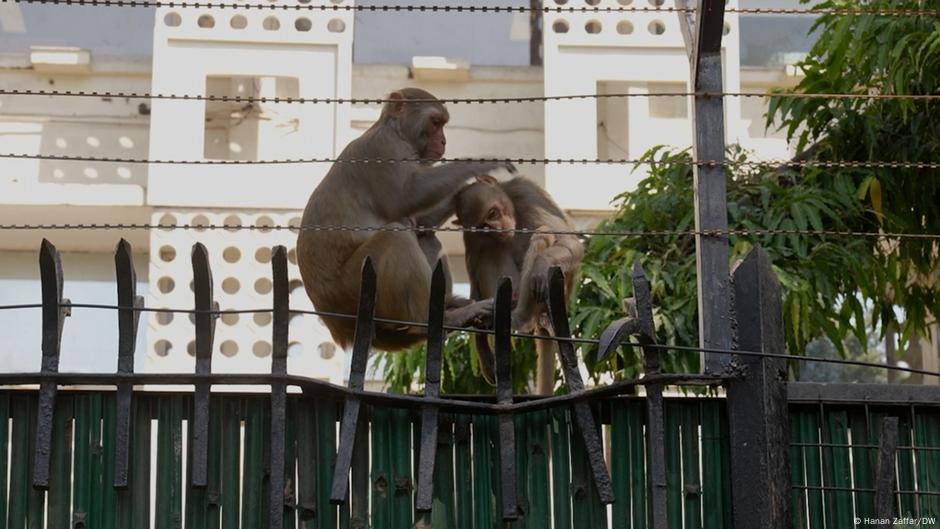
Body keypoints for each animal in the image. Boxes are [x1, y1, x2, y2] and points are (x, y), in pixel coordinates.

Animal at [296, 88, 515, 352]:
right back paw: (433, 320)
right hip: (354, 289)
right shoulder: (385, 150)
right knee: (396, 236)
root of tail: (337, 325)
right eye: (435, 123)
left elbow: (422, 221)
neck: (394, 130)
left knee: (424, 236)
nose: (443, 141)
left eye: (442, 125)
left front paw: (472, 190)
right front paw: (483, 163)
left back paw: (448, 304)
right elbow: (406, 196)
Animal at [454, 176, 584, 390]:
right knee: (489, 247)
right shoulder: (471, 232)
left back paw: (520, 315)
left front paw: (542, 263)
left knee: (543, 233)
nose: (499, 229)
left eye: (493, 212)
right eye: (485, 224)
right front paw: (483, 349)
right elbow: (474, 277)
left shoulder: (526, 192)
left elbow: (570, 242)